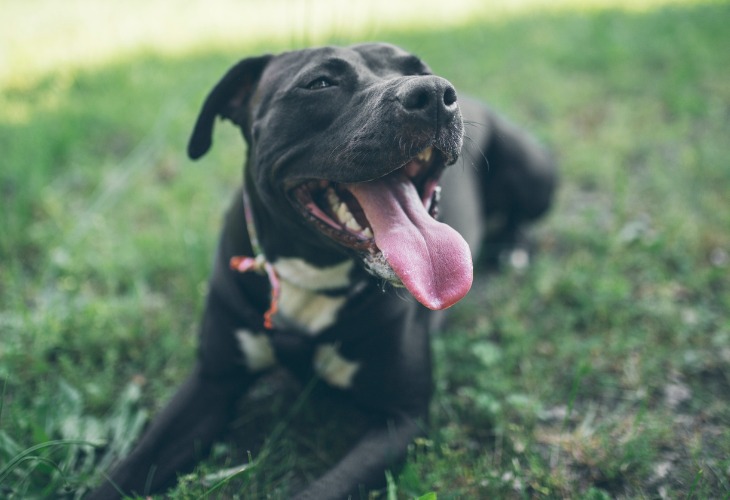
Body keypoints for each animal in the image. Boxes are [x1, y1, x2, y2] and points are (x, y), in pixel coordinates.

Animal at [91, 44, 556, 500]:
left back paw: (514, 250)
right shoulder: (211, 381)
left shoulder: (400, 420)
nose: (435, 93)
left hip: (534, 172)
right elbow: (124, 472)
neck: (312, 271)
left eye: (419, 68)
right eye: (319, 83)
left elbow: (323, 489)